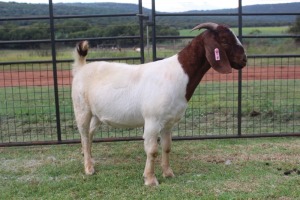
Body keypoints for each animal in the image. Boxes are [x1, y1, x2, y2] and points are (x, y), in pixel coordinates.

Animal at [71, 22, 247, 187]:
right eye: (224, 40)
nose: (244, 60)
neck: (179, 74)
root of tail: (81, 68)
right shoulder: (152, 121)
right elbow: (152, 150)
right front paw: (150, 179)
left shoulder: (168, 122)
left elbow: (167, 146)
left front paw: (168, 173)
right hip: (81, 109)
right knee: (84, 135)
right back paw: (88, 168)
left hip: (97, 114)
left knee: (90, 133)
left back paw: (89, 159)